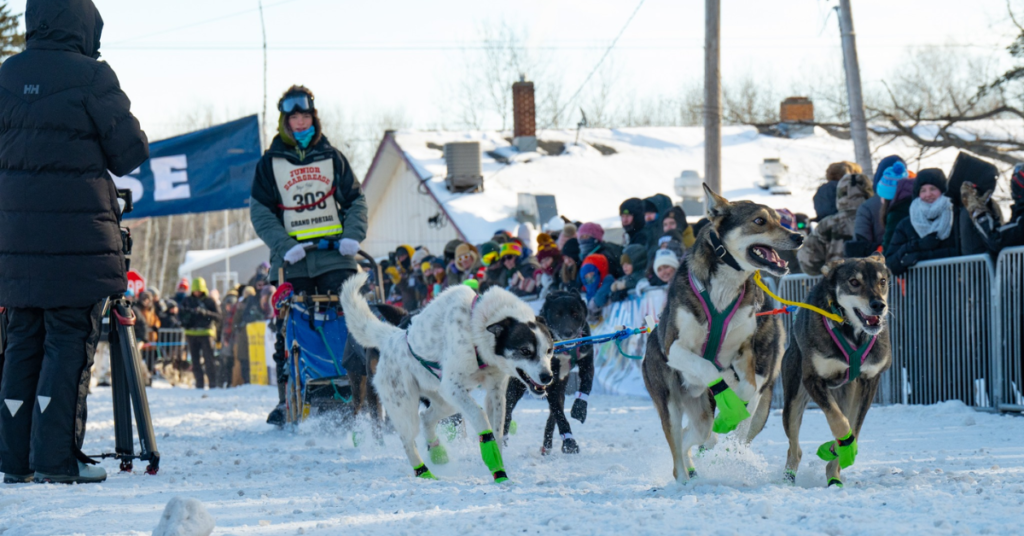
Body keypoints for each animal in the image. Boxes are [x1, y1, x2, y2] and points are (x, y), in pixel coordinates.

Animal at [337, 272, 552, 481]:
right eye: (525, 350)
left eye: (549, 350)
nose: (547, 376)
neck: (475, 326)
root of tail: (394, 337)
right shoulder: (452, 386)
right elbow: (481, 417)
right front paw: (492, 457)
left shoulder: (495, 392)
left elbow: (498, 430)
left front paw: (498, 463)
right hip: (406, 407)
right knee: (408, 441)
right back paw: (424, 472)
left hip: (446, 401)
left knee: (426, 417)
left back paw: (438, 454)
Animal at [501, 291, 598, 455]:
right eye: (557, 315)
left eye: (575, 314)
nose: (568, 333)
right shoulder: (550, 383)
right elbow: (560, 415)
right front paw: (570, 443)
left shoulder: (586, 362)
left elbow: (586, 385)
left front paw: (579, 409)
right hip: (516, 388)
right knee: (508, 411)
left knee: (553, 414)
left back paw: (547, 445)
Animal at [638, 184, 798, 481]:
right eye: (760, 220)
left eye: (778, 219)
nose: (799, 236)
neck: (724, 288)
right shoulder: (675, 349)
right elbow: (707, 367)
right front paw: (728, 399)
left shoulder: (744, 351)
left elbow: (748, 388)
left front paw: (735, 407)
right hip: (670, 404)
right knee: (678, 450)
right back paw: (683, 480)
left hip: (701, 412)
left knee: (698, 435)